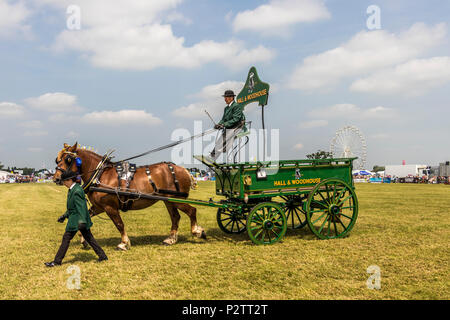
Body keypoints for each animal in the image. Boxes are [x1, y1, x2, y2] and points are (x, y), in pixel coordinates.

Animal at [53, 142, 207, 250]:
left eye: (67, 159)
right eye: (57, 159)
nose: (56, 178)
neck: (100, 175)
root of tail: (184, 170)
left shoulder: (110, 207)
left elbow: (119, 224)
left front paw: (124, 243)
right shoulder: (99, 207)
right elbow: (83, 222)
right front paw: (83, 240)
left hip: (178, 199)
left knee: (192, 210)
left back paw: (197, 231)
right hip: (168, 200)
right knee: (175, 217)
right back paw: (171, 239)